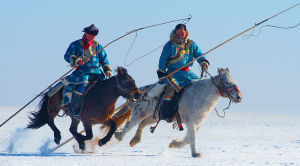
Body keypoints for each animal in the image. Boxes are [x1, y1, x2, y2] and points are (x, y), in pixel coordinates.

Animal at [112, 68, 241, 158]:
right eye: (227, 82)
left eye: (234, 81)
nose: (239, 97)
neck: (202, 95)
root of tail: (141, 92)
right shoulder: (191, 122)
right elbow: (192, 137)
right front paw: (195, 154)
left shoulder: (197, 123)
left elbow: (189, 138)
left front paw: (174, 144)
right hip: (140, 112)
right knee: (130, 125)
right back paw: (119, 136)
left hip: (154, 117)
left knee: (141, 124)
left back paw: (135, 140)